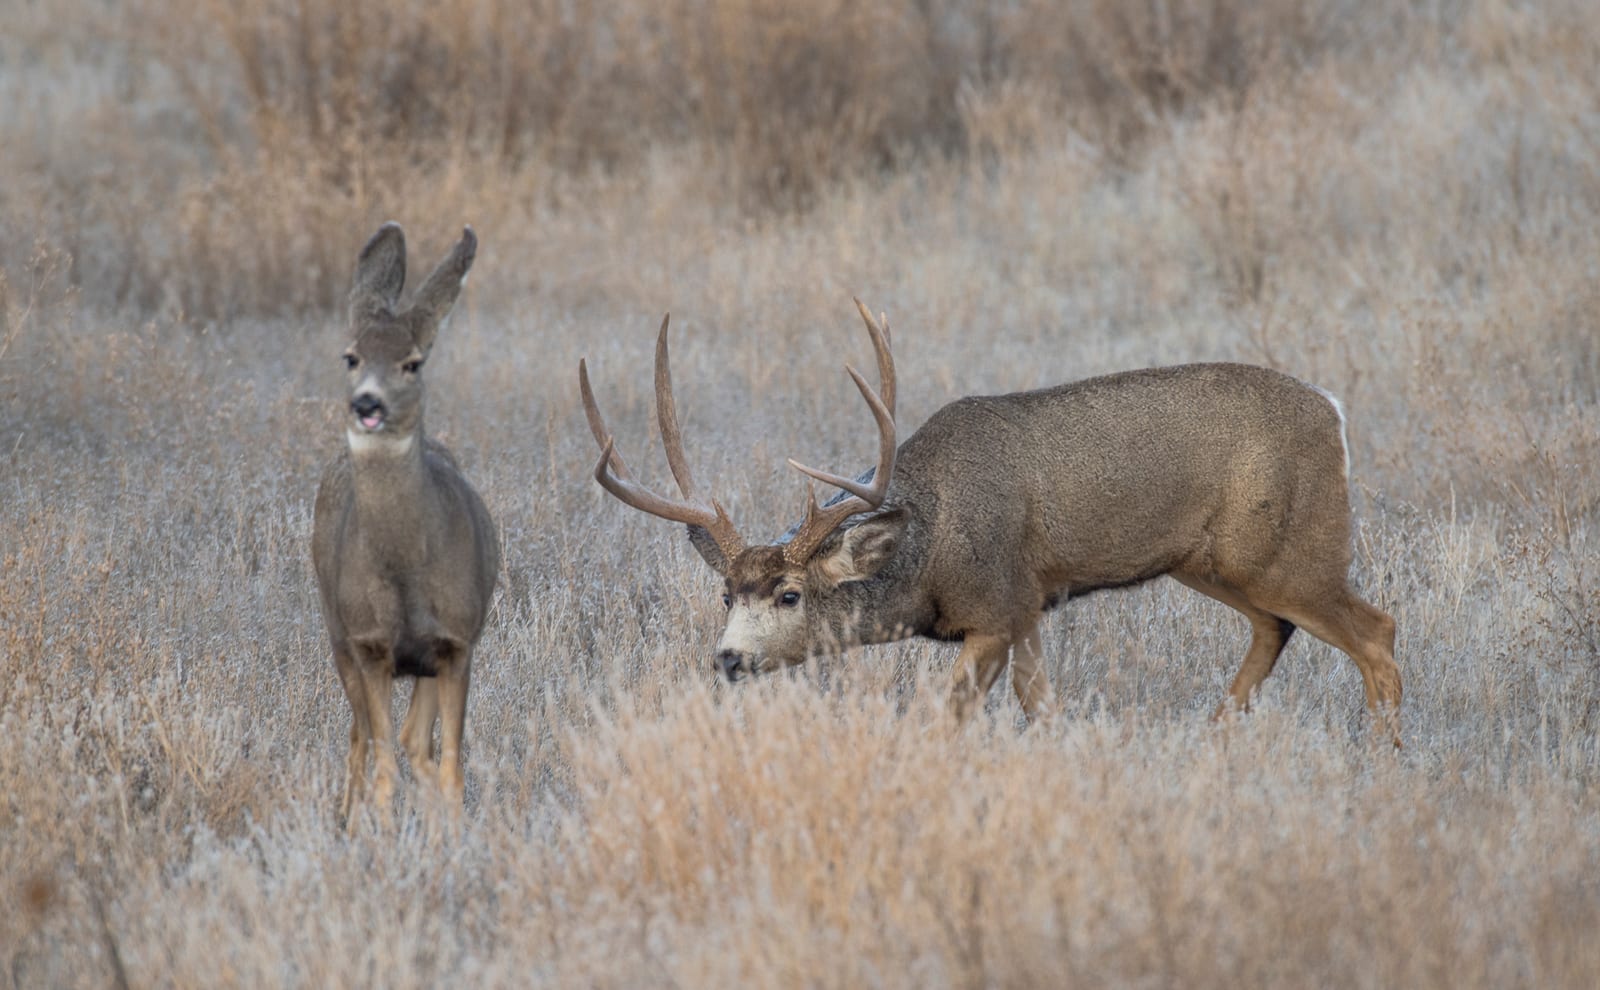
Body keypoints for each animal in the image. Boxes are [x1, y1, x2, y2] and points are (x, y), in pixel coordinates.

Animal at [311, 222, 500, 824]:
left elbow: (448, 764)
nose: (367, 404)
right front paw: (381, 833)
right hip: (337, 632)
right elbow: (384, 764)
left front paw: (452, 835)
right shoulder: (368, 643)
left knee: (415, 743)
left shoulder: (457, 640)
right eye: (350, 356)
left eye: (413, 362)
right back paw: (346, 819)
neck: (406, 572)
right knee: (362, 738)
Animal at [578, 300, 1403, 743]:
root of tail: (1334, 413)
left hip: (1293, 548)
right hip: (1214, 561)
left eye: (790, 594)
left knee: (1376, 632)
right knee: (1276, 628)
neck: (934, 535)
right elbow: (1044, 709)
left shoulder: (996, 608)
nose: (728, 658)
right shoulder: (1030, 606)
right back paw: (1217, 736)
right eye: (726, 594)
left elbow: (945, 716)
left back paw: (1384, 759)